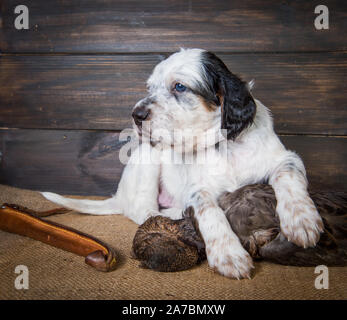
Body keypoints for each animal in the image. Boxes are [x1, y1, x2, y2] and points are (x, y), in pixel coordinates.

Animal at [42, 48, 324, 278]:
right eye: (150, 88)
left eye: (179, 87)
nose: (136, 115)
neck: (223, 145)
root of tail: (119, 196)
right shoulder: (196, 188)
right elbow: (209, 210)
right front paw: (228, 254)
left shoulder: (285, 157)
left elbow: (287, 173)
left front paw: (302, 221)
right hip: (148, 159)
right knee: (143, 210)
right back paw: (171, 213)